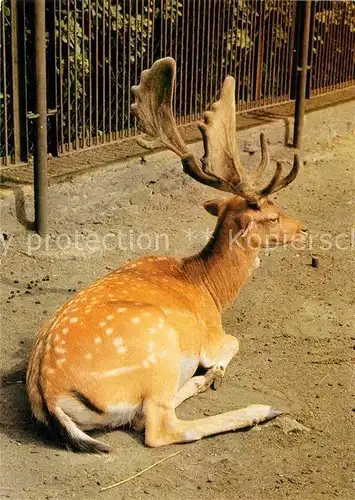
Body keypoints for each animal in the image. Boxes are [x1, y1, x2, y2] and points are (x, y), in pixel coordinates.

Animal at [27, 57, 308, 454]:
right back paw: (257, 407)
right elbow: (233, 343)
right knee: (157, 426)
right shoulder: (212, 335)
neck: (211, 289)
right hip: (157, 347)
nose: (303, 228)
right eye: (270, 215)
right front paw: (216, 371)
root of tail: (49, 395)